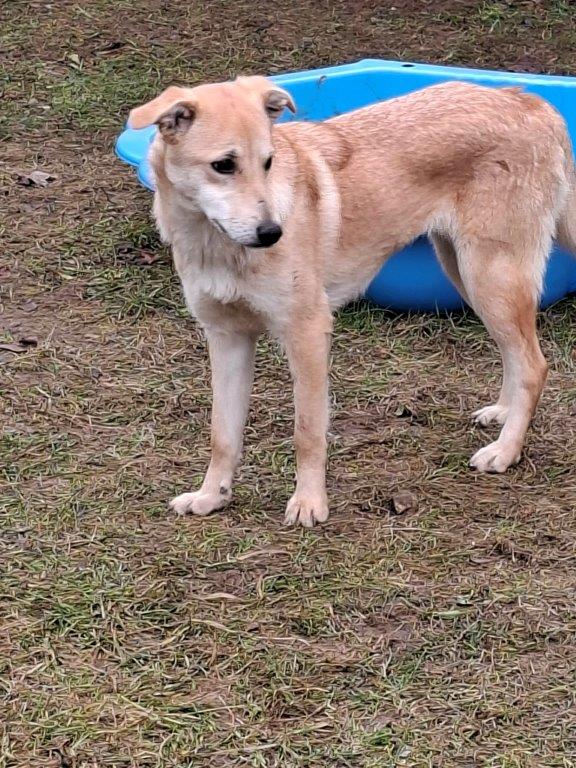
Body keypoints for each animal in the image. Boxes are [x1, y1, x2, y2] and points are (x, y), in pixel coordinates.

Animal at [128, 75, 576, 527]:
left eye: (268, 162)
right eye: (223, 165)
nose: (273, 233)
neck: (215, 244)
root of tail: (528, 101)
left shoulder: (308, 334)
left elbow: (307, 431)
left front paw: (309, 502)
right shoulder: (226, 339)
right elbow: (223, 433)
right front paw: (212, 496)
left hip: (490, 279)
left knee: (534, 365)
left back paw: (506, 450)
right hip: (467, 276)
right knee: (514, 354)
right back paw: (503, 412)